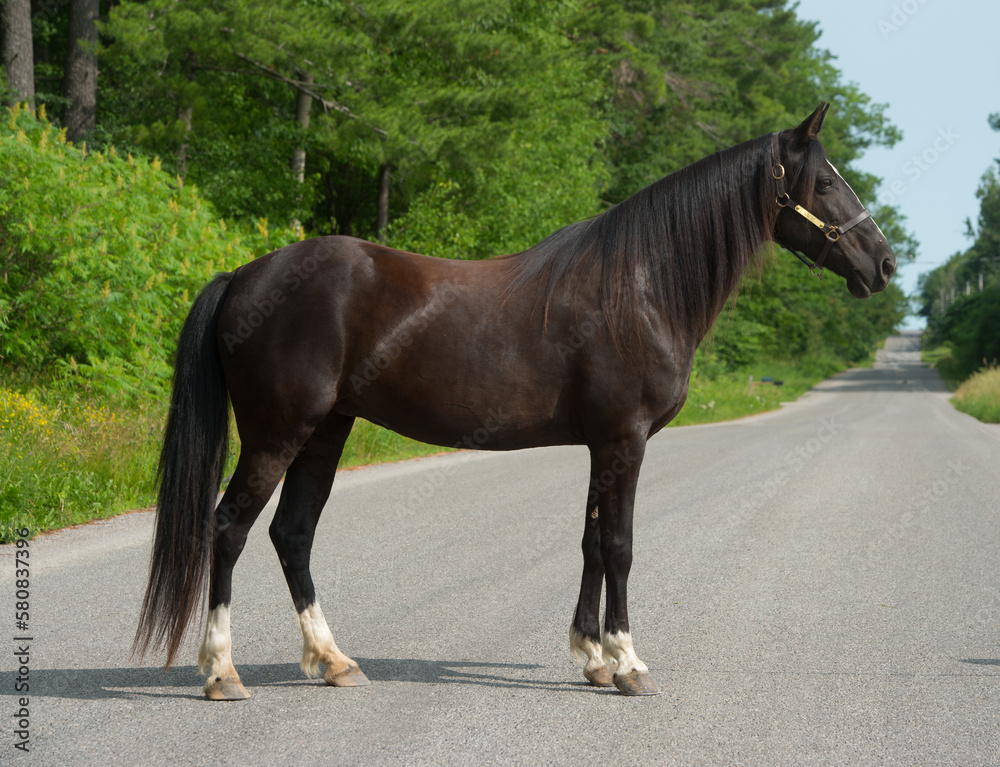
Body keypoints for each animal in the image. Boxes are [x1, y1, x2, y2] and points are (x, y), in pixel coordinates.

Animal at [134, 103, 895, 698]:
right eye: (826, 181)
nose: (883, 263)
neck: (639, 287)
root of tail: (244, 276)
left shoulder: (602, 443)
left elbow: (590, 542)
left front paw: (591, 656)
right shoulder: (625, 439)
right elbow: (620, 546)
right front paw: (628, 663)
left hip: (326, 431)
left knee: (292, 533)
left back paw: (334, 661)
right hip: (277, 433)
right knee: (228, 528)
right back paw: (221, 672)